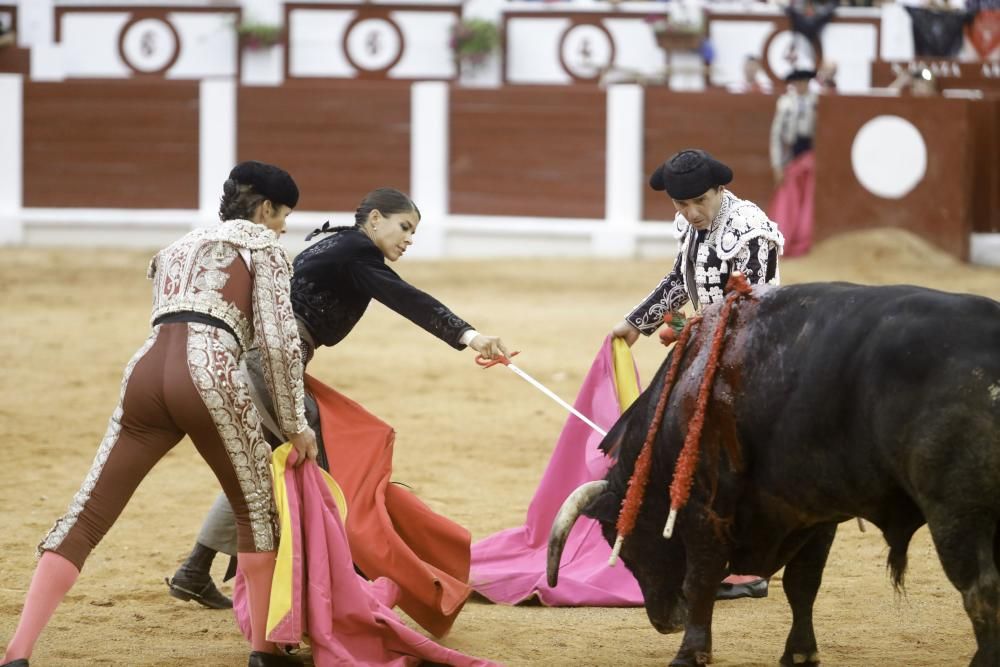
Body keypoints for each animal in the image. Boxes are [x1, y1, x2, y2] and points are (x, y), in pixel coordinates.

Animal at [548, 284, 1000, 667]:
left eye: (621, 543)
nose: (666, 622)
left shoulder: (704, 509)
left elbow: (701, 580)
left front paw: (690, 653)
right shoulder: (814, 513)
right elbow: (803, 584)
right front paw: (800, 653)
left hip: (956, 513)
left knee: (981, 591)